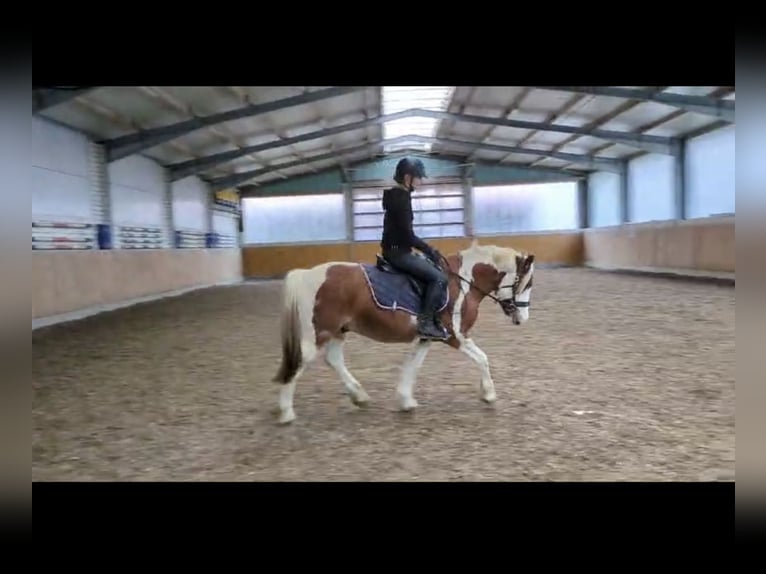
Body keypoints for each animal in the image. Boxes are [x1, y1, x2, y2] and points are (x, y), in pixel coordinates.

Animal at [272, 237, 536, 424]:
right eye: (525, 284)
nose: (523, 318)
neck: (462, 282)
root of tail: (307, 274)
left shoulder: (427, 337)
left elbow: (413, 365)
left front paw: (406, 400)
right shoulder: (456, 336)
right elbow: (482, 358)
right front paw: (489, 394)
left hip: (339, 330)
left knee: (334, 359)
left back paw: (359, 396)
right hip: (318, 333)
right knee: (299, 364)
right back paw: (286, 413)